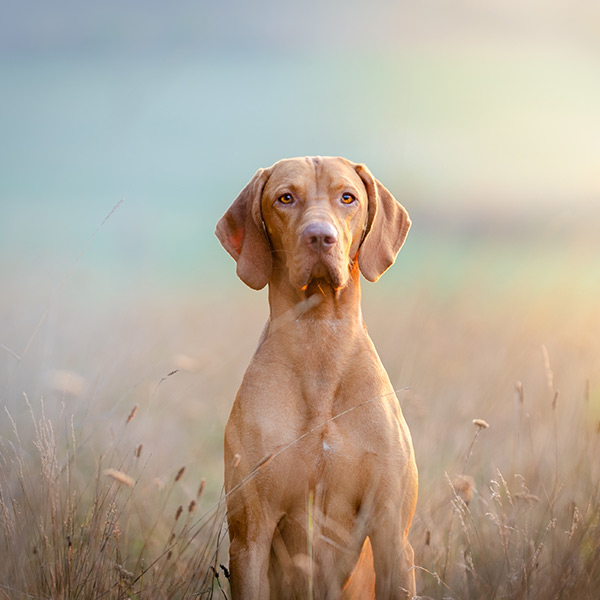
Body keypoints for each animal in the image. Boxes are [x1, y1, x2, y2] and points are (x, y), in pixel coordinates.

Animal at [216, 157, 418, 596]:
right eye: (285, 198)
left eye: (348, 197)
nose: (320, 237)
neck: (320, 339)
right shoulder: (249, 538)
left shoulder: (392, 535)